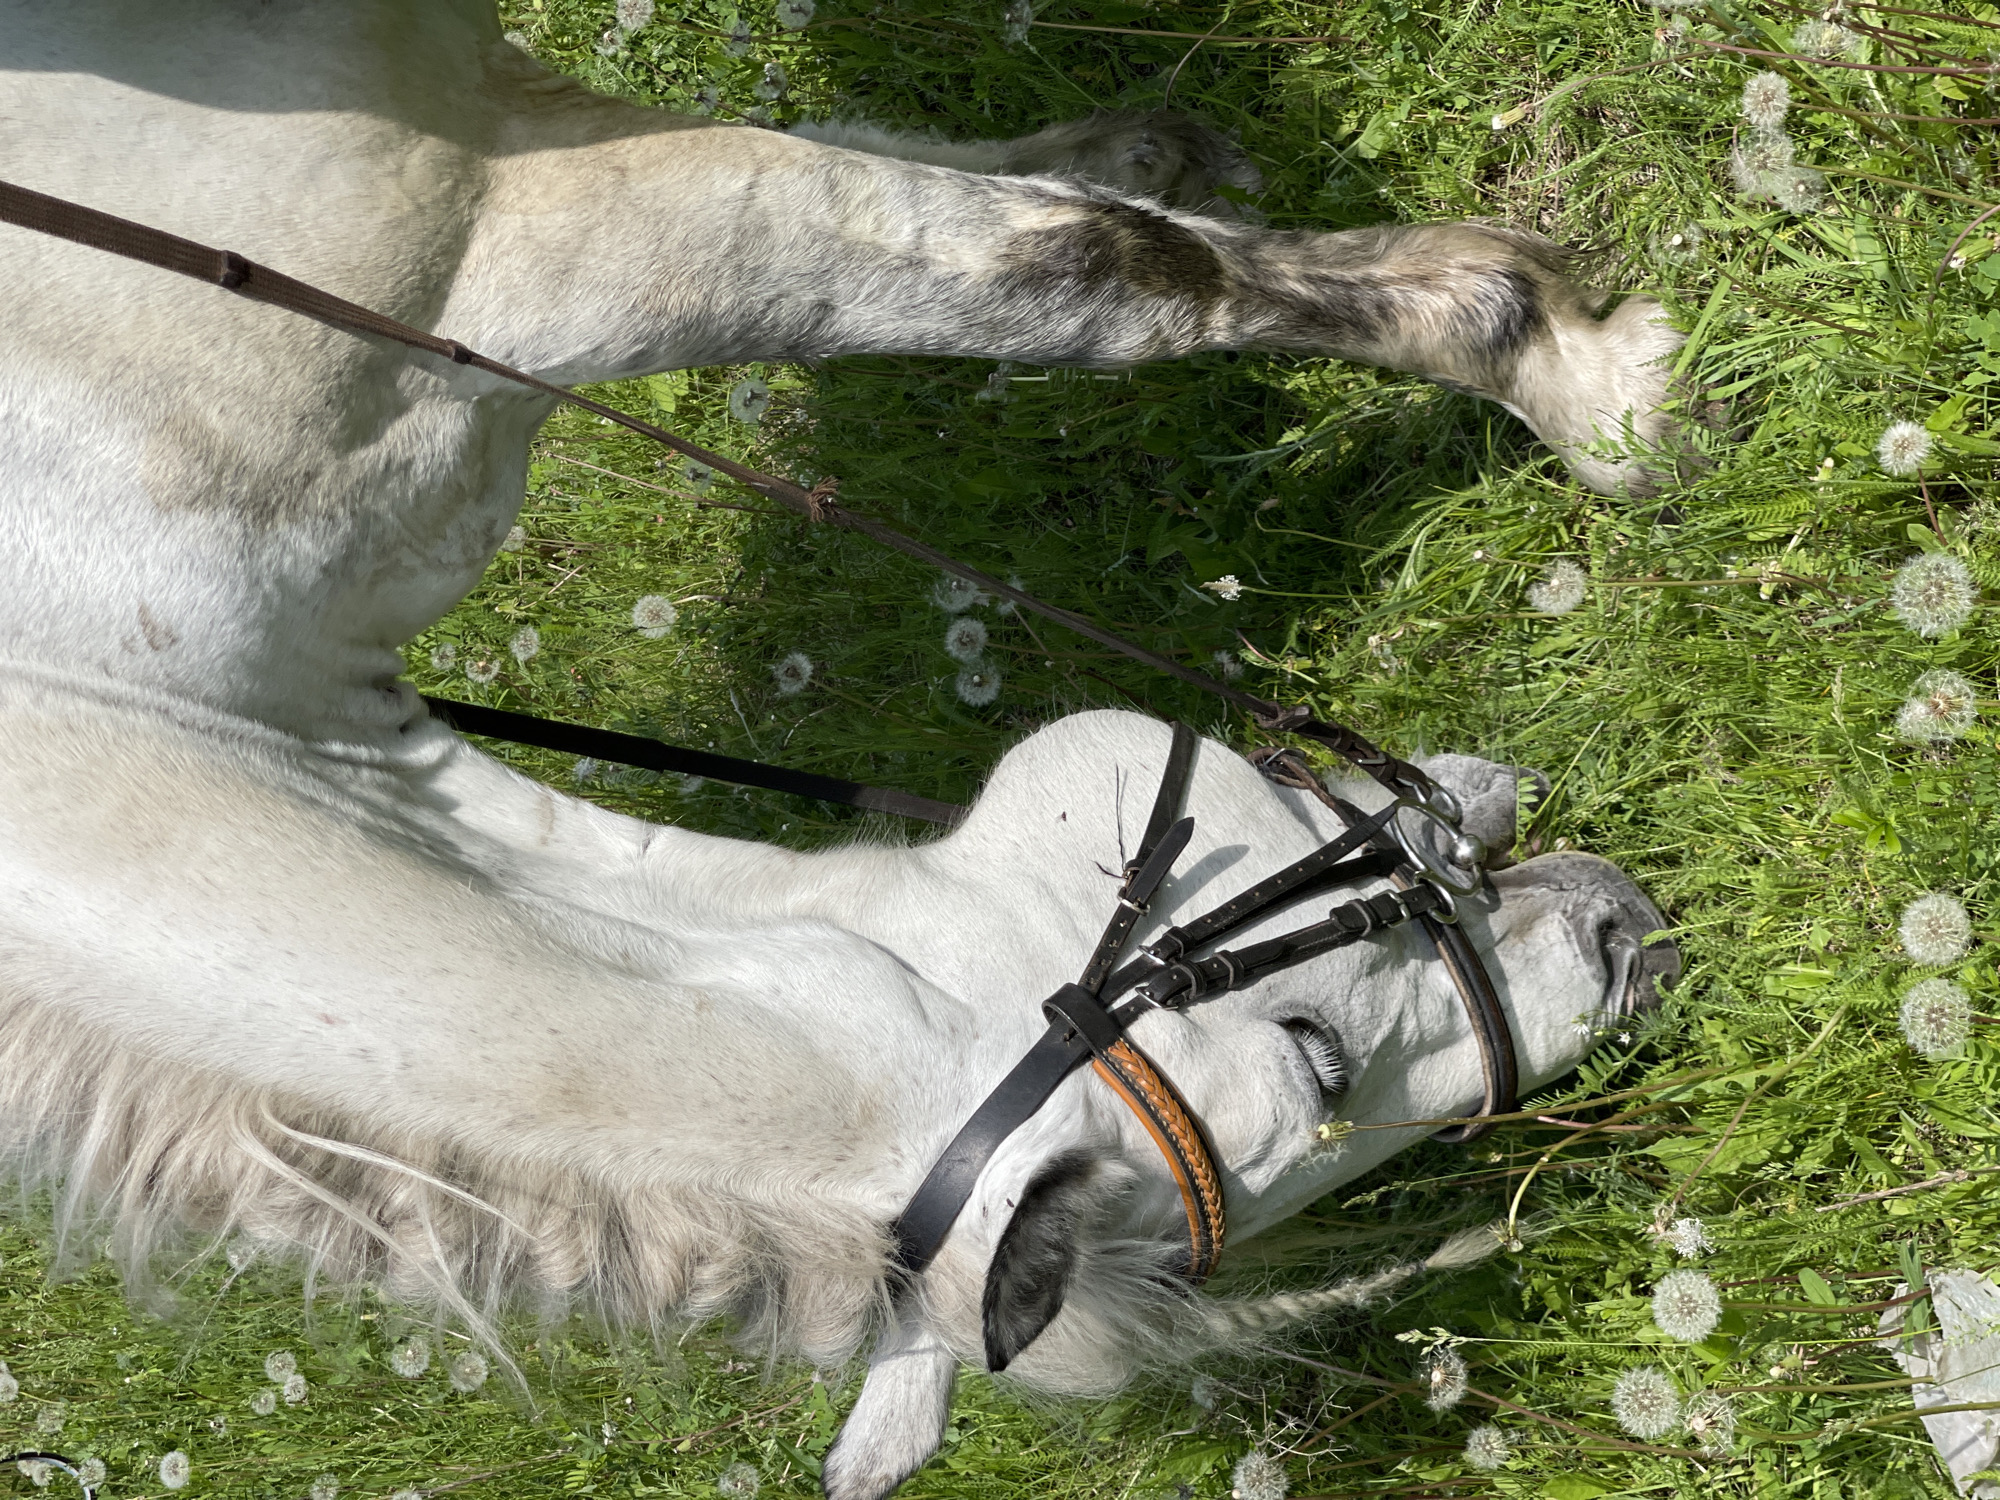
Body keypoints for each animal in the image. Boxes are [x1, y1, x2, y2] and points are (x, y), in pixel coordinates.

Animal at [0, 6, 1681, 1496]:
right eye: (1320, 1066)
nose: (1632, 944)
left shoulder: (506, 194)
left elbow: (1091, 258)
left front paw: (1583, 379)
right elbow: (1072, 250)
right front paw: (1551, 353)